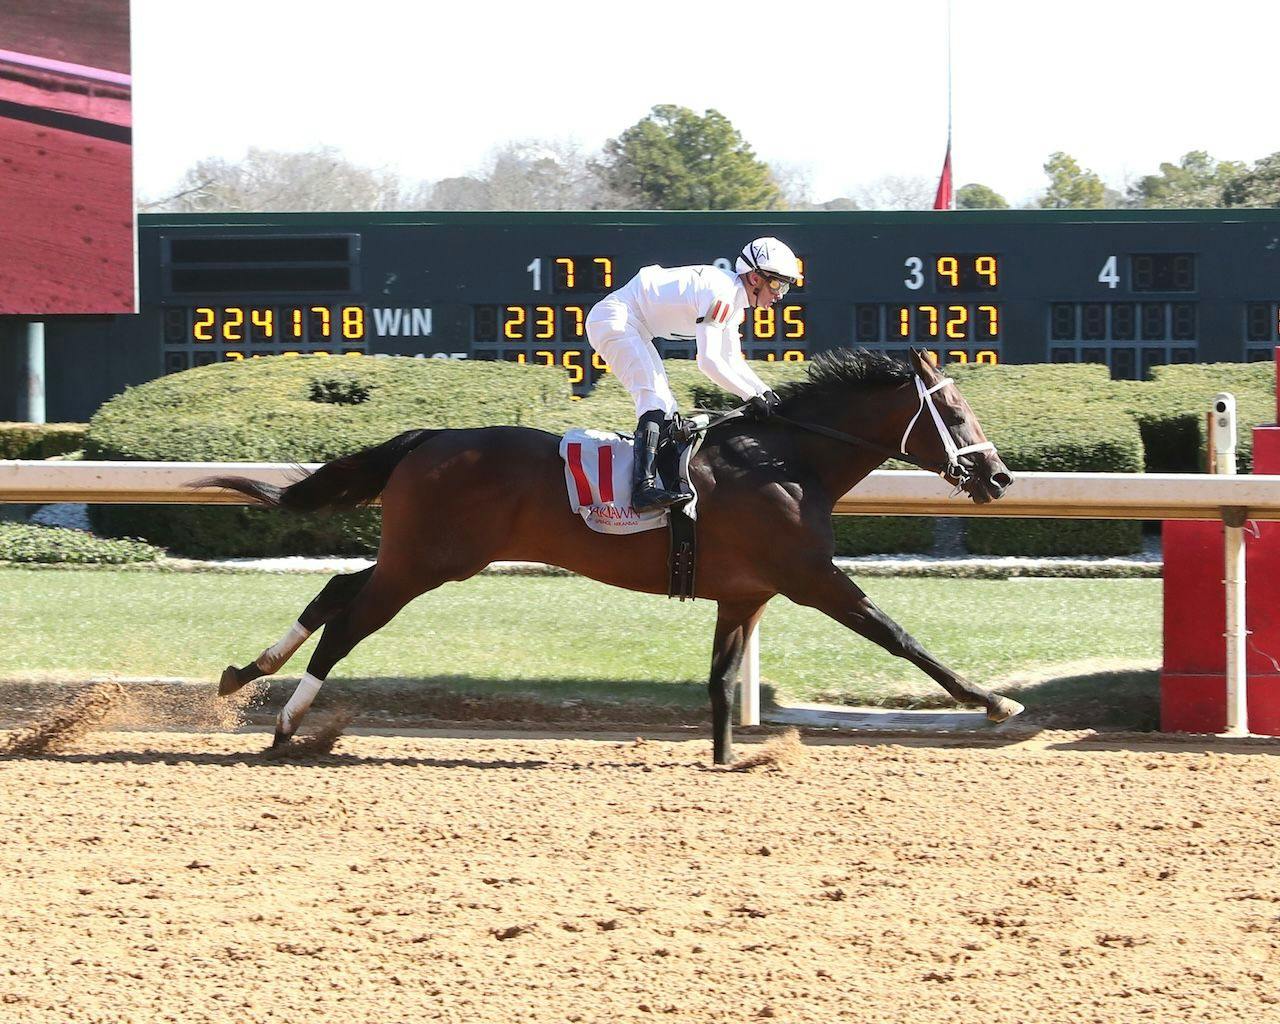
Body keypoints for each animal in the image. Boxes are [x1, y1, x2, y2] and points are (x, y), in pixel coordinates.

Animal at [202, 348, 1018, 762]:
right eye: (953, 413)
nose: (999, 477)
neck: (787, 459)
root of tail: (427, 437)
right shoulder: (813, 579)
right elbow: (902, 638)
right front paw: (993, 702)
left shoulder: (743, 593)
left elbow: (721, 679)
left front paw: (728, 755)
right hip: (426, 564)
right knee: (349, 622)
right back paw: (286, 726)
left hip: (421, 557)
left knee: (336, 589)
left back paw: (245, 674)